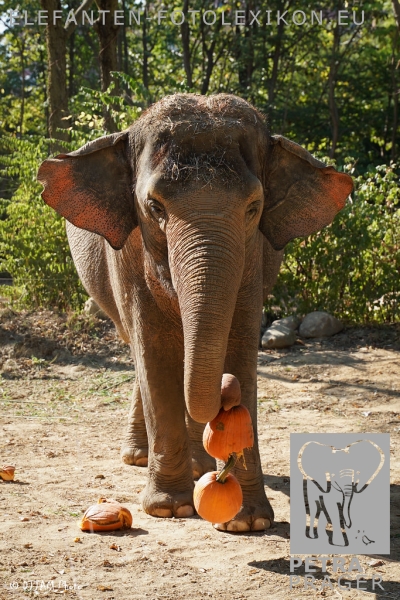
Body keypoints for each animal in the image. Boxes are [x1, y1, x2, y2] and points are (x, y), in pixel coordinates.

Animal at [36, 91, 352, 532]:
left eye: (254, 207)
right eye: (154, 207)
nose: (224, 393)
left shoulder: (253, 260)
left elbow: (238, 345)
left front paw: (247, 521)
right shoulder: (129, 255)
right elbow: (153, 351)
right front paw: (171, 509)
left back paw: (199, 464)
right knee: (136, 349)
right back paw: (141, 457)